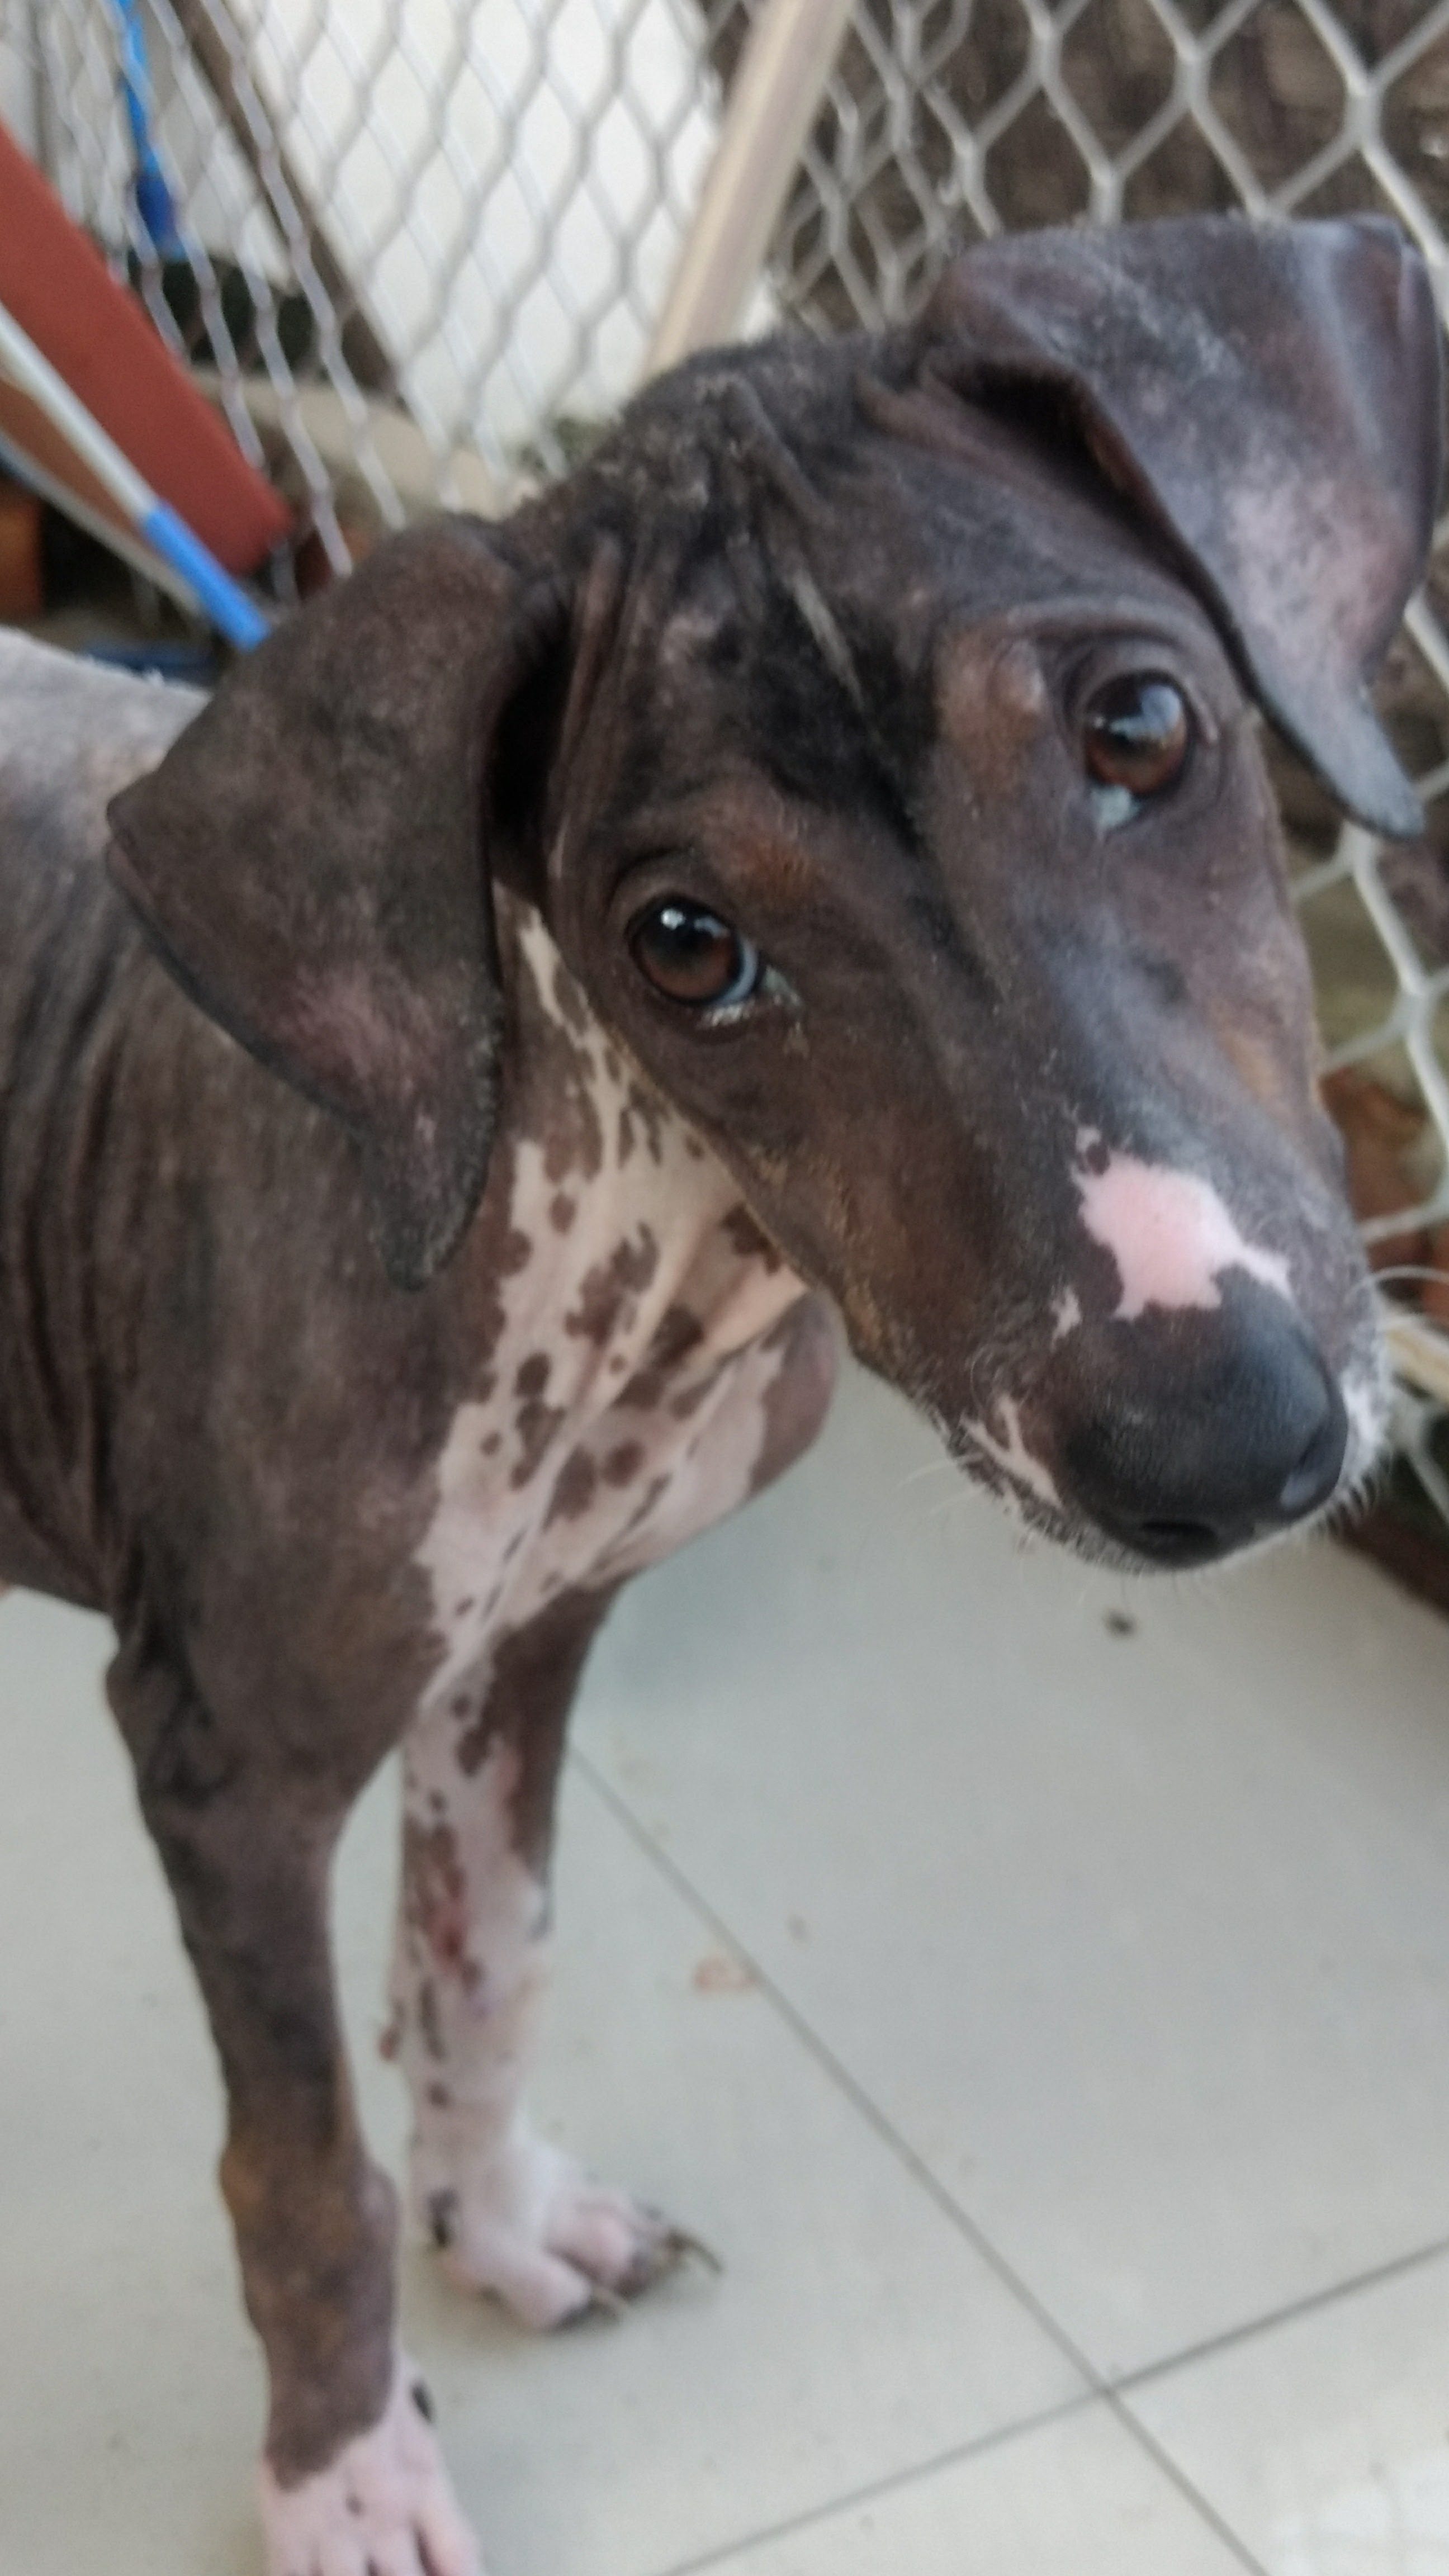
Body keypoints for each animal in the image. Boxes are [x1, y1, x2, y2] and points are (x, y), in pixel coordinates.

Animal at [0, 213, 1439, 2575]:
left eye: (1142, 724)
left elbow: (485, 1965)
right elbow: (302, 2161)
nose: (1225, 1443)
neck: (633, 1241)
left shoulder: (527, 1648)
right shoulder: (231, 1757)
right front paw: (348, 2464)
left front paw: (503, 2225)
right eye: (684, 943)